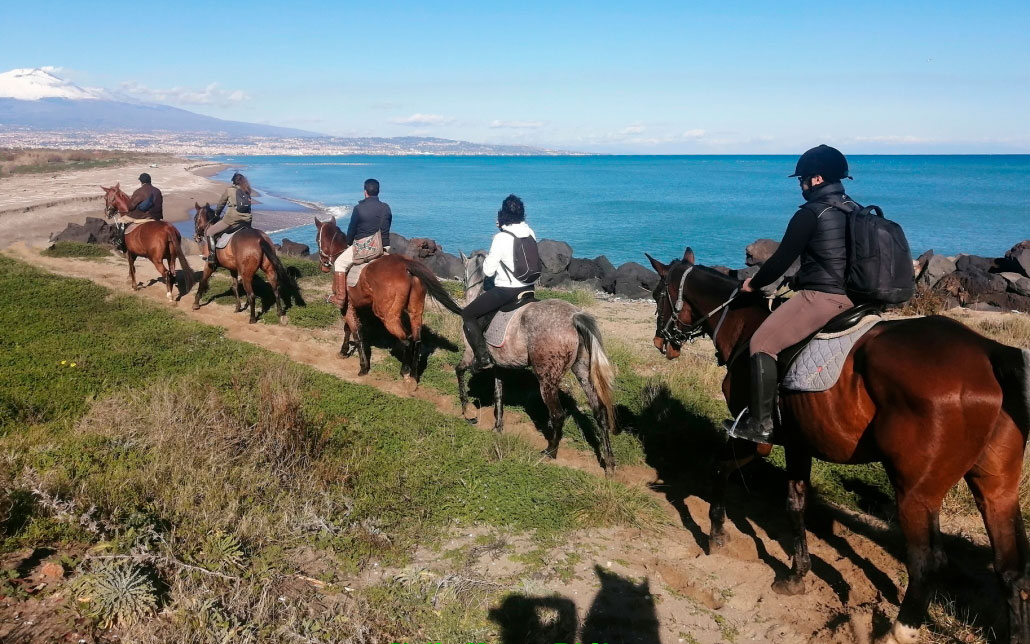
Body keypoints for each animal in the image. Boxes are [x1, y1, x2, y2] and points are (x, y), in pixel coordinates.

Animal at [309, 216, 463, 381]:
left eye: (317, 240)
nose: (323, 266)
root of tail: (405, 264)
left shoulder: (346, 304)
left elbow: (355, 332)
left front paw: (362, 366)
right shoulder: (356, 305)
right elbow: (348, 329)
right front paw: (345, 352)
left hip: (387, 315)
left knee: (407, 339)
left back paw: (404, 371)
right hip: (415, 310)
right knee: (417, 339)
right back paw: (414, 375)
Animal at [646, 247, 1025, 642]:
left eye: (658, 295)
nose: (660, 342)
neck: (746, 326)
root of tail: (987, 353)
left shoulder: (754, 439)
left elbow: (720, 468)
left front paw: (717, 534)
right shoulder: (799, 444)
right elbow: (796, 504)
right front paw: (797, 574)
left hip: (916, 492)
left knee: (927, 561)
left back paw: (900, 630)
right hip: (997, 488)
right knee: (1009, 567)